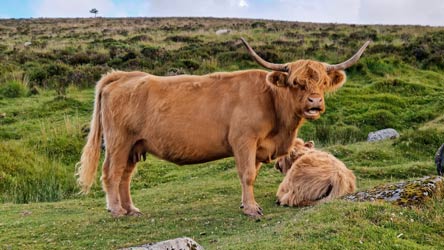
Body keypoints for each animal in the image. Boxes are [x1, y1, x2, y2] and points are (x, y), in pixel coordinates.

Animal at [75, 38, 368, 218]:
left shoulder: (257, 147)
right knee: (111, 174)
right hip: (118, 142)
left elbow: (252, 174)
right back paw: (116, 210)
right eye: (296, 83)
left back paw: (131, 209)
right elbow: (247, 174)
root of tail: (123, 75)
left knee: (125, 176)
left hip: (135, 145)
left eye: (322, 83)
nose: (314, 103)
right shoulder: (244, 141)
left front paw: (245, 203)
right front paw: (251, 209)